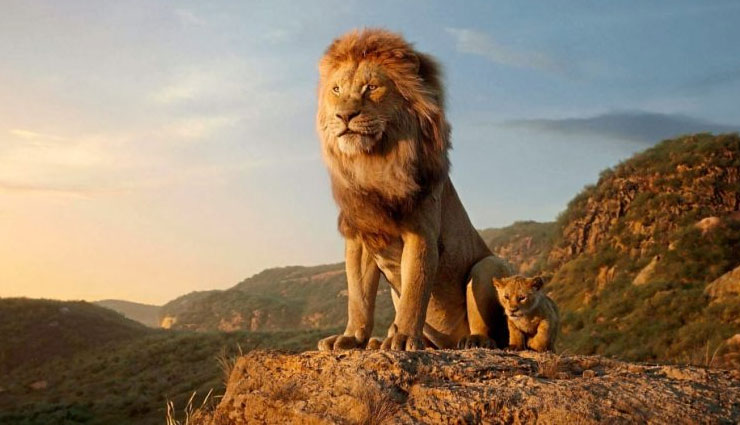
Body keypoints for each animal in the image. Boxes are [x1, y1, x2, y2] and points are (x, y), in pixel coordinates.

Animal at [316, 29, 511, 351]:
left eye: (371, 87)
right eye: (336, 90)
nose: (344, 116)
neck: (373, 163)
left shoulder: (421, 233)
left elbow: (415, 291)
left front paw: (404, 338)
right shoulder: (360, 237)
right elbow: (359, 297)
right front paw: (351, 337)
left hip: (488, 266)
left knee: (491, 329)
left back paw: (473, 340)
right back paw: (379, 341)